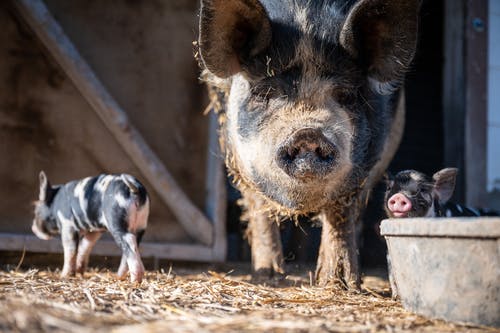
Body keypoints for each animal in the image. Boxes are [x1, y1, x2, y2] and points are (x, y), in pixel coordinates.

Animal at [197, 0, 420, 288]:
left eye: (346, 96)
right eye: (264, 92)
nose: (308, 133)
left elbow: (342, 210)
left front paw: (341, 284)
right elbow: (257, 202)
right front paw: (269, 277)